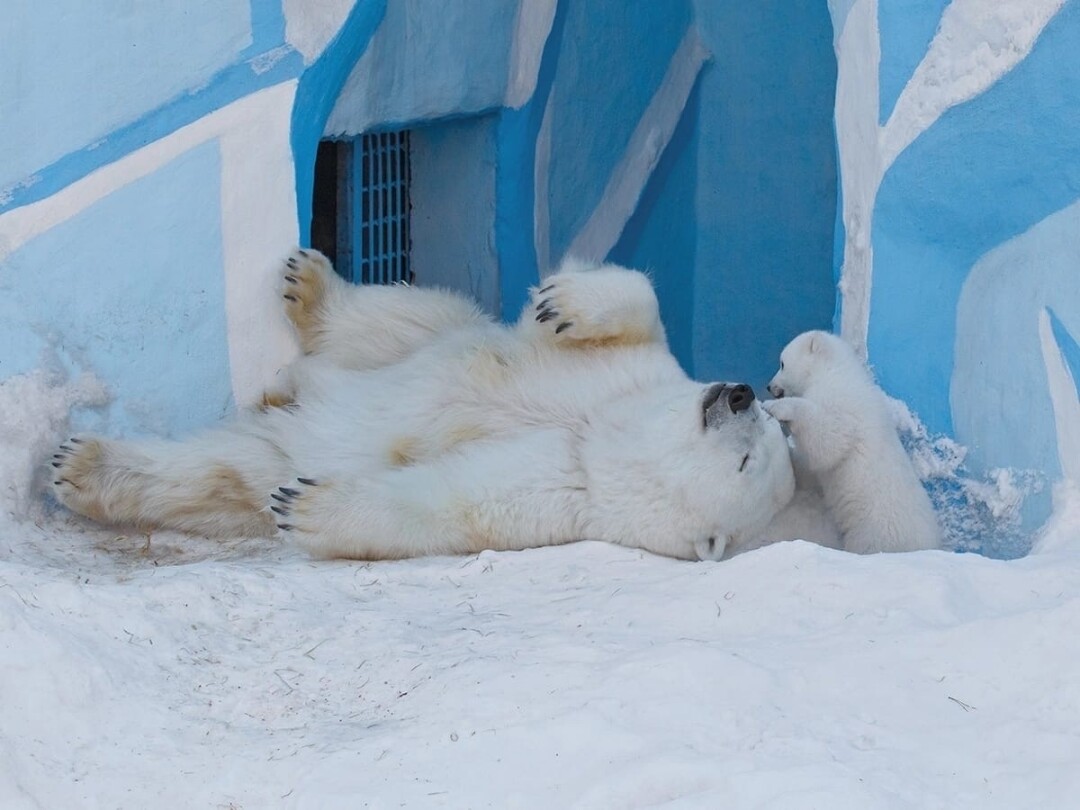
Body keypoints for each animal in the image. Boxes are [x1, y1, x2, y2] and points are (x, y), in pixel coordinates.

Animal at [52, 250, 794, 561]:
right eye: (766, 422)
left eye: (748, 462)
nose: (739, 392)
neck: (597, 432)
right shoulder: (629, 373)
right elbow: (636, 301)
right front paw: (564, 302)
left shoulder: (564, 492)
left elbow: (445, 503)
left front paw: (311, 508)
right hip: (427, 339)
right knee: (415, 321)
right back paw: (310, 293)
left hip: (273, 450)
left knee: (223, 470)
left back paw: (82, 466)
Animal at [764, 332, 941, 557]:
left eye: (782, 363)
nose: (769, 386)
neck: (837, 372)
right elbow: (813, 466)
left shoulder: (844, 402)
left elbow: (828, 441)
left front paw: (775, 407)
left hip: (875, 530)